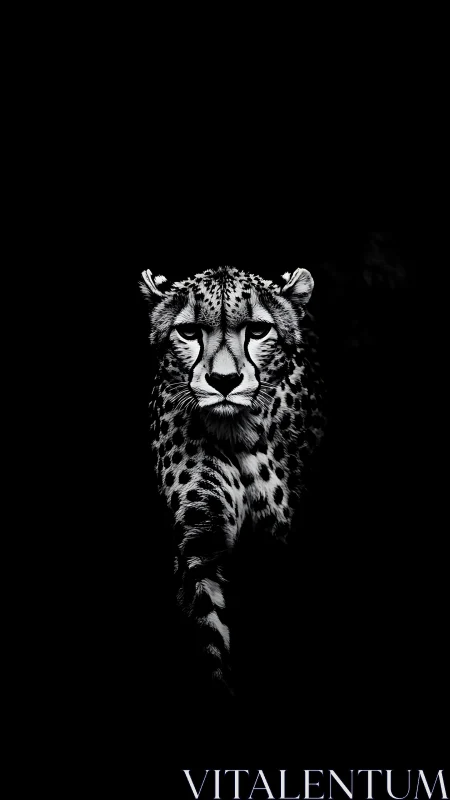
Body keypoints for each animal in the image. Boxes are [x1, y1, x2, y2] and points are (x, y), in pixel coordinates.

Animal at [140, 265, 325, 695]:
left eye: (257, 330)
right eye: (189, 331)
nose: (224, 381)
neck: (238, 433)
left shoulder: (284, 544)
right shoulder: (199, 547)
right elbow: (208, 640)